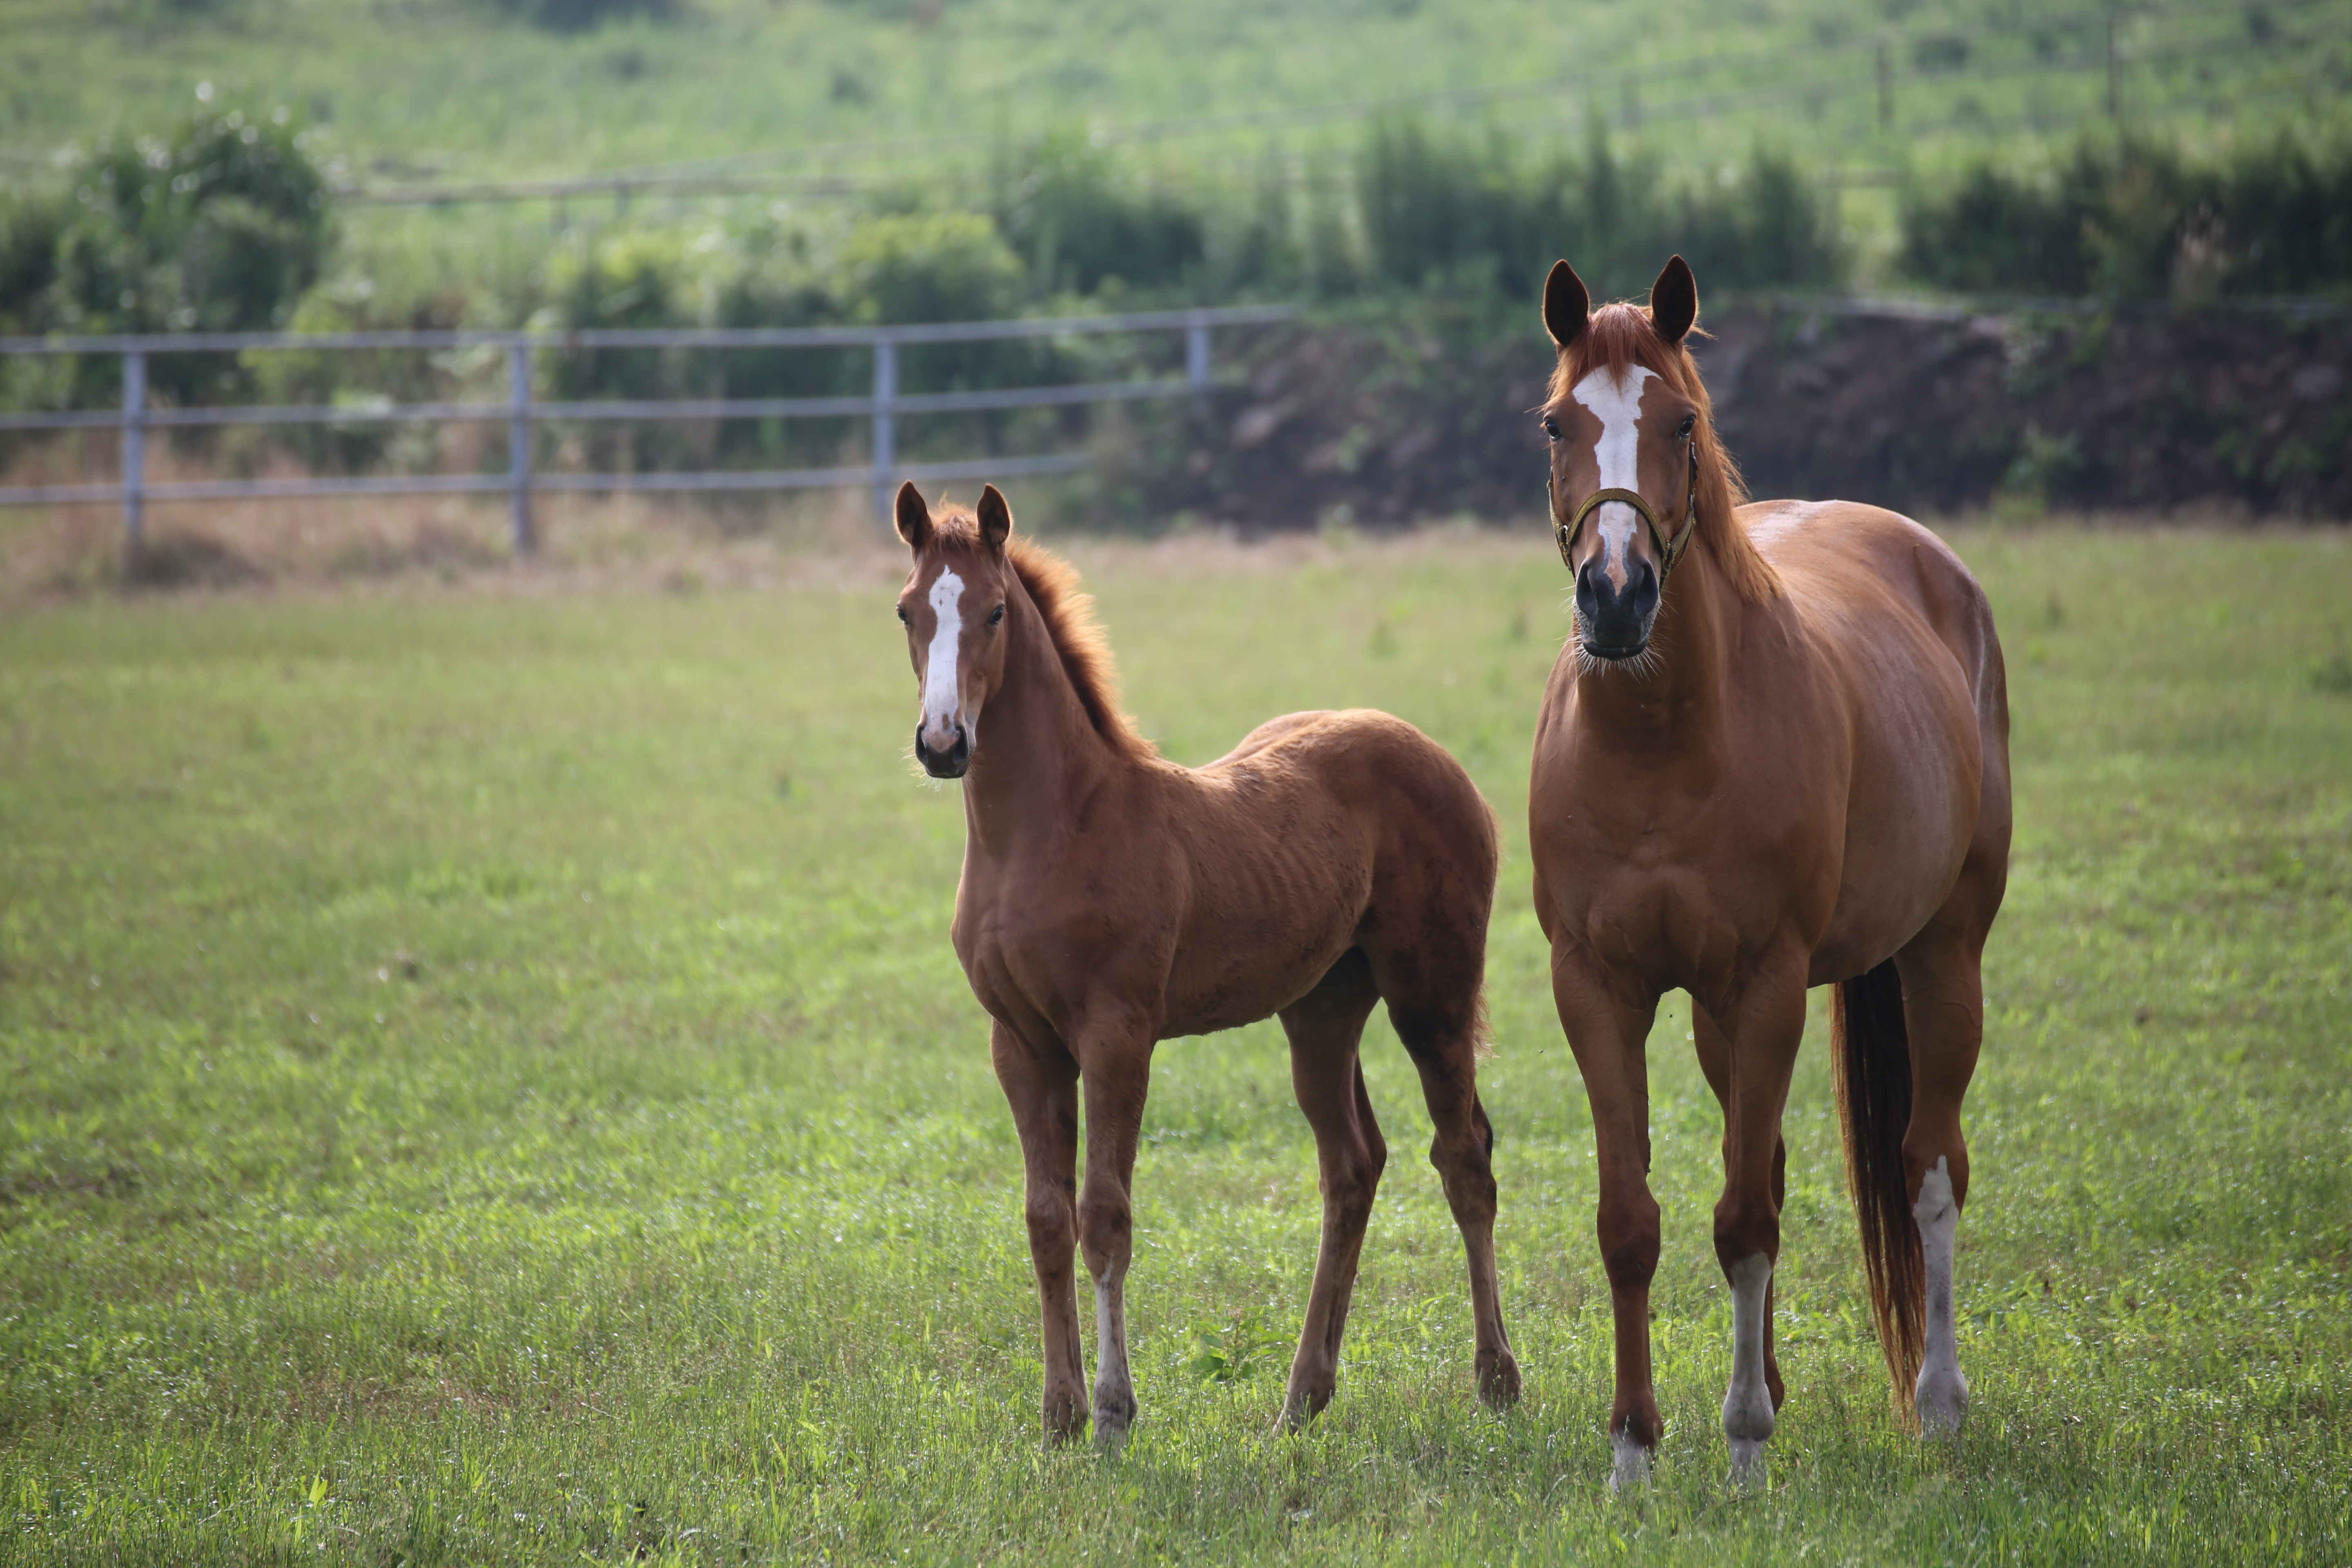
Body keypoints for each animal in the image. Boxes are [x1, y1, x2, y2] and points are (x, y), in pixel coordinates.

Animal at [884, 484, 1524, 1457]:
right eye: (907, 611)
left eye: (994, 612)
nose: (943, 741)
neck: (1050, 831)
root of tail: (1441, 759)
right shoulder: (1020, 1044)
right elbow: (1045, 1220)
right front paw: (1058, 1417)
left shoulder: (1117, 1035)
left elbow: (1105, 1216)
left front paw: (1114, 1415)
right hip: (1321, 1009)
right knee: (1352, 1165)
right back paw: (1302, 1399)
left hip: (1432, 997)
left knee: (1463, 1160)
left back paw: (1495, 1381)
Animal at [1533, 261, 2013, 1495]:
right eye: (1557, 424)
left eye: (1681, 423)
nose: (1615, 596)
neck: (1660, 746)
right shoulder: (1597, 989)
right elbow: (1633, 1221)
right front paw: (1633, 1450)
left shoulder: (1763, 987)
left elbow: (1744, 1220)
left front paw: (1744, 1447)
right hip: (1718, 1014)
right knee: (1780, 1167)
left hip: (1943, 954)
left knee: (1929, 1166)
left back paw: (1939, 1405)